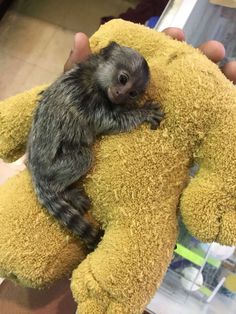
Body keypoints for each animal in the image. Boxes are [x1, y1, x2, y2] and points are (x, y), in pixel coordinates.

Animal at [27, 41, 164, 248]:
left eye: (132, 93)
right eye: (123, 79)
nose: (120, 94)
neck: (95, 79)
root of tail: (36, 171)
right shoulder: (89, 102)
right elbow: (113, 122)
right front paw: (144, 112)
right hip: (55, 167)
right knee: (83, 159)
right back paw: (67, 193)